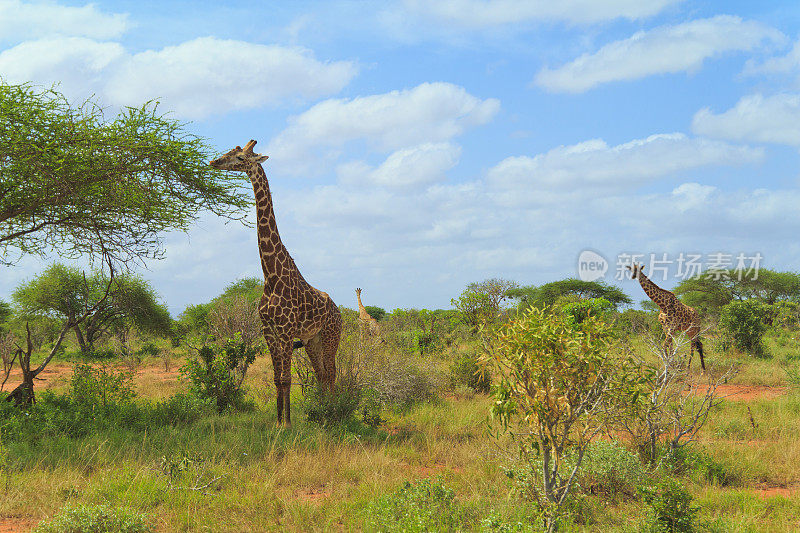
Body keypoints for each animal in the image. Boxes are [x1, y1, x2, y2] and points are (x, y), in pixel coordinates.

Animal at [209, 140, 340, 424]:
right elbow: (278, 379)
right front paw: (278, 422)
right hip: (312, 340)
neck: (270, 276)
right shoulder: (269, 331)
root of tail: (338, 311)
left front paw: (288, 424)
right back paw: (323, 411)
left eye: (240, 157)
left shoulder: (287, 331)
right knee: (321, 374)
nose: (215, 161)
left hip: (331, 335)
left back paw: (334, 413)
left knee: (331, 373)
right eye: (229, 151)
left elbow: (287, 378)